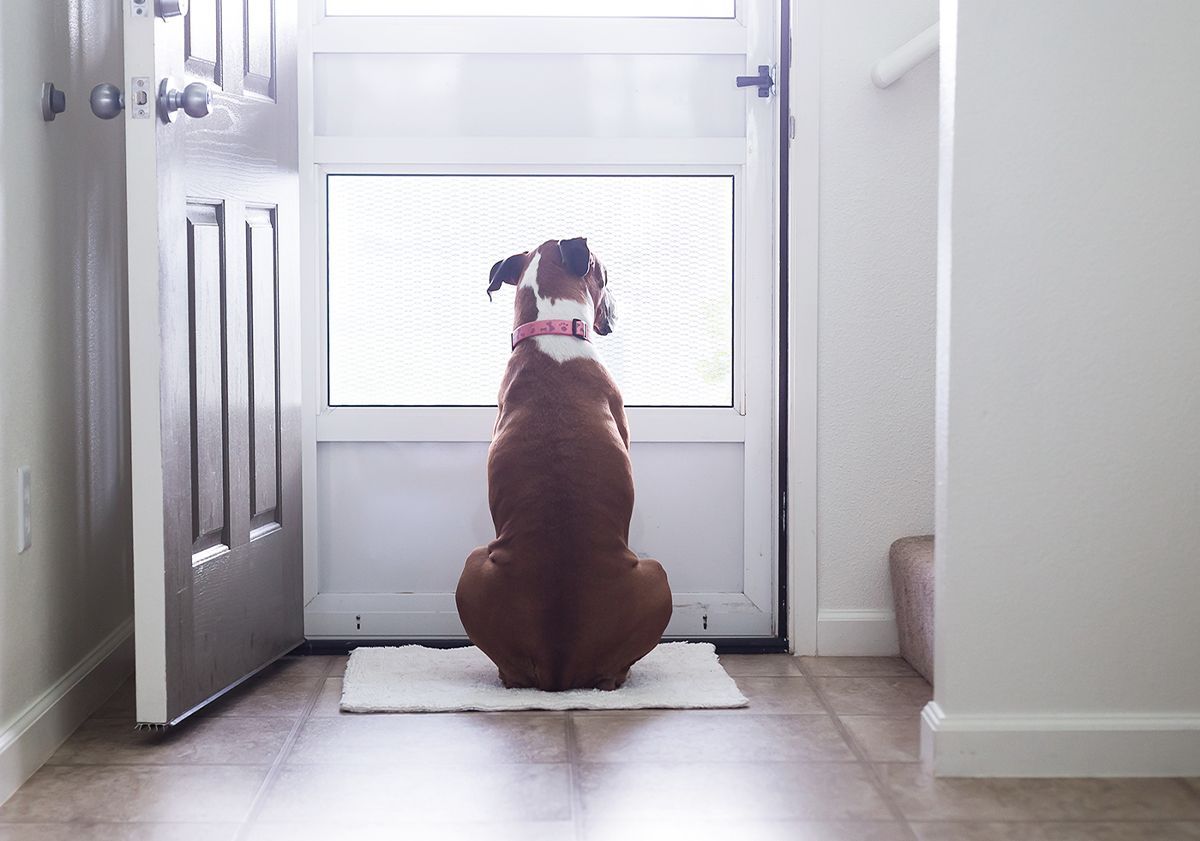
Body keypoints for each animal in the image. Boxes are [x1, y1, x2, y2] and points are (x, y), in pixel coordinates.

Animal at [451, 235, 672, 691]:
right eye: (606, 276)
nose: (615, 307)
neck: (550, 329)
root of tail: (560, 664)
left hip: (471, 569)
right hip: (656, 573)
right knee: (613, 672)